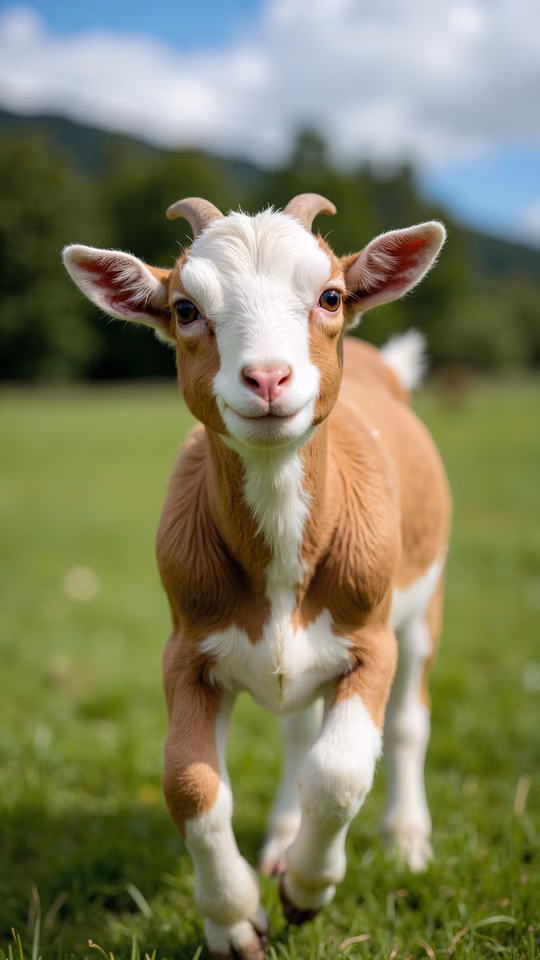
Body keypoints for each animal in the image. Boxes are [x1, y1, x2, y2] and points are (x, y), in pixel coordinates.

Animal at [63, 194, 451, 960]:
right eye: (186, 308)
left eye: (330, 295)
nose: (268, 379)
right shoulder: (187, 648)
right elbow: (190, 785)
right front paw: (236, 918)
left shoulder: (372, 638)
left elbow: (341, 771)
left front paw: (307, 889)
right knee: (298, 731)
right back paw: (279, 840)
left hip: (426, 601)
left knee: (408, 722)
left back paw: (405, 842)